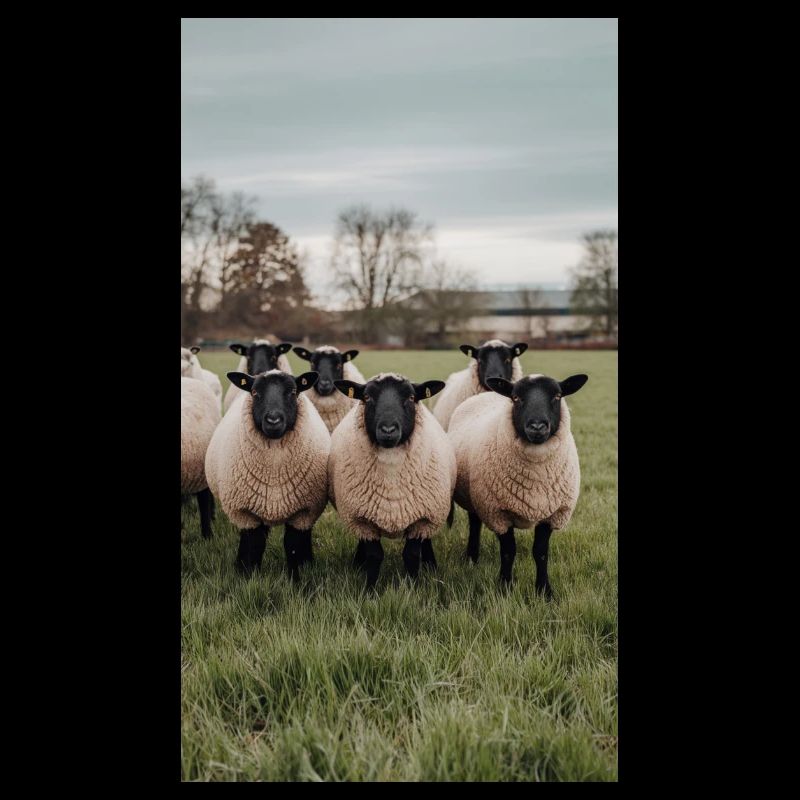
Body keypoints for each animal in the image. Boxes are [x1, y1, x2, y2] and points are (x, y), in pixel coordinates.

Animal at [205, 368, 331, 580]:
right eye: (255, 392)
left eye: (293, 392)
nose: (273, 421)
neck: (274, 469)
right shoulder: (244, 512)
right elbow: (252, 546)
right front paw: (247, 577)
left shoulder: (305, 511)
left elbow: (293, 545)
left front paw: (296, 578)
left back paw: (309, 562)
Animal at [328, 373, 455, 589]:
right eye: (367, 397)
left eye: (411, 397)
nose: (388, 430)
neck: (391, 481)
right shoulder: (362, 519)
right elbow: (374, 556)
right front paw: (369, 589)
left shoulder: (421, 518)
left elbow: (411, 555)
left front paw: (413, 588)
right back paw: (358, 563)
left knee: (427, 540)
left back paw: (431, 564)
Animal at [447, 372, 588, 597]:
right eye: (516, 398)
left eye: (557, 396)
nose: (537, 427)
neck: (536, 477)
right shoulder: (498, 513)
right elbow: (508, 552)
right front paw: (505, 587)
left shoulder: (552, 514)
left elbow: (540, 552)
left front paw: (544, 591)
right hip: (475, 496)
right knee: (475, 523)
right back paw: (472, 558)